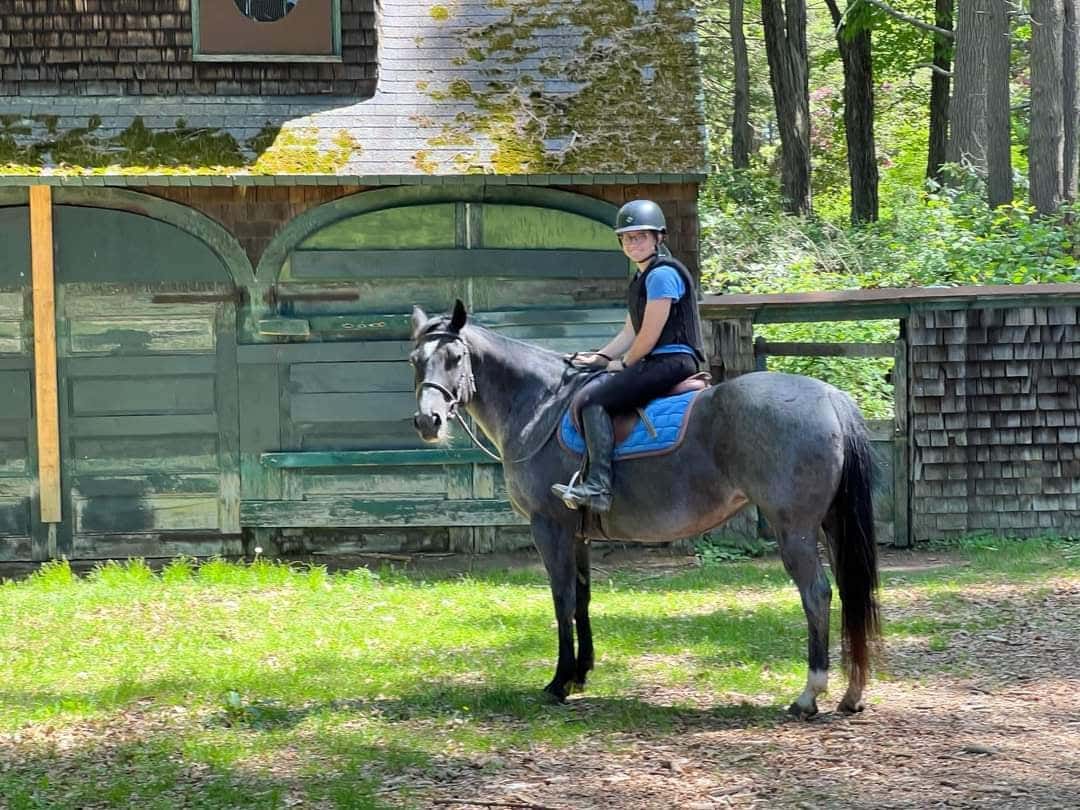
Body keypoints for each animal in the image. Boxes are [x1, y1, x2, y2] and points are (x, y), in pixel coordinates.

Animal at [406, 302, 876, 721]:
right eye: (415, 360)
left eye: (454, 358)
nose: (428, 421)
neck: (540, 406)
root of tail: (829, 396)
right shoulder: (577, 532)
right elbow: (582, 598)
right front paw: (580, 673)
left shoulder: (549, 526)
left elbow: (562, 599)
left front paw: (559, 682)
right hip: (831, 525)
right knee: (851, 592)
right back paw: (852, 693)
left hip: (794, 529)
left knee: (816, 593)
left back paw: (809, 694)